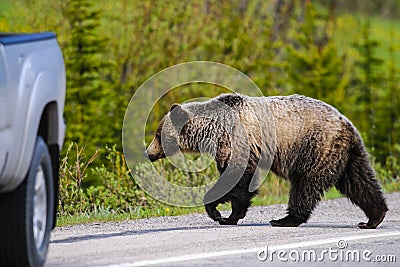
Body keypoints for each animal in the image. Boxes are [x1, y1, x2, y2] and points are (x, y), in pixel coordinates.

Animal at [146, 93, 388, 229]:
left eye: (158, 135)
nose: (149, 153)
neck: (213, 130)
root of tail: (347, 125)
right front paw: (229, 216)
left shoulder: (238, 141)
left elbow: (236, 180)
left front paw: (218, 212)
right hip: (347, 155)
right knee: (360, 182)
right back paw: (373, 218)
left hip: (315, 147)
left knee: (305, 186)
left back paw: (284, 219)